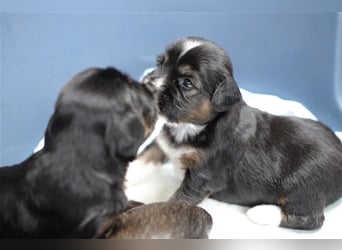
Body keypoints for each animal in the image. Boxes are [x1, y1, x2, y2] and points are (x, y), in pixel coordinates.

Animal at [140, 37, 342, 230]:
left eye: (187, 83)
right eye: (160, 63)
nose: (148, 85)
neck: (189, 127)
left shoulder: (202, 177)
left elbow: (175, 202)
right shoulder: (162, 144)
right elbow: (142, 161)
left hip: (302, 187)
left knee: (312, 219)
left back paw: (263, 212)